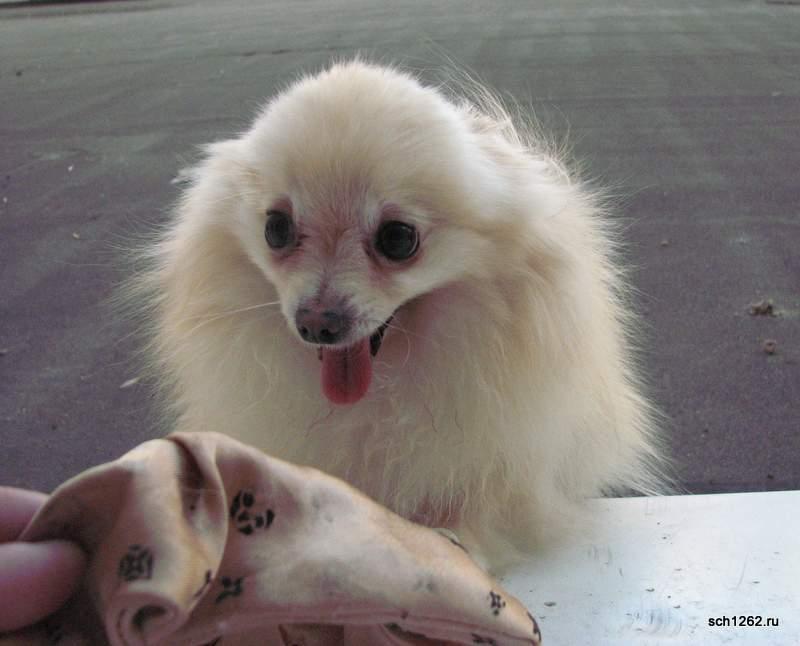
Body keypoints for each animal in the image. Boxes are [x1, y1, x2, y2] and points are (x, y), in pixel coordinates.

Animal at [132, 60, 665, 570]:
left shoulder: (505, 457)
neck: (381, 394)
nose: (317, 322)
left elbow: (482, 500)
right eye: (276, 229)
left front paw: (457, 539)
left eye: (397, 239)